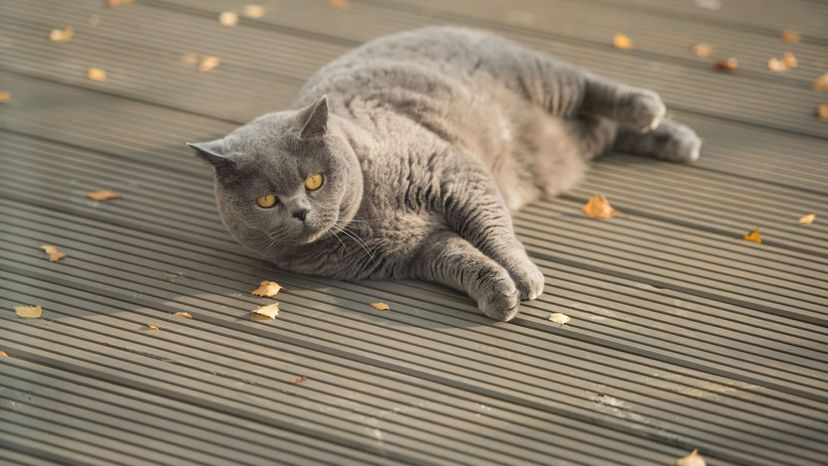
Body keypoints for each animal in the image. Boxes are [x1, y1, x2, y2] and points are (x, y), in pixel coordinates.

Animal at [188, 26, 700, 320]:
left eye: (314, 181)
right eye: (267, 201)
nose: (299, 211)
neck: (368, 214)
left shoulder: (458, 175)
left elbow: (494, 232)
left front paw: (525, 278)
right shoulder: (417, 251)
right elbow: (463, 259)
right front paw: (500, 295)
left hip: (535, 75)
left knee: (589, 87)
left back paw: (650, 111)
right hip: (569, 138)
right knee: (603, 128)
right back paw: (674, 139)